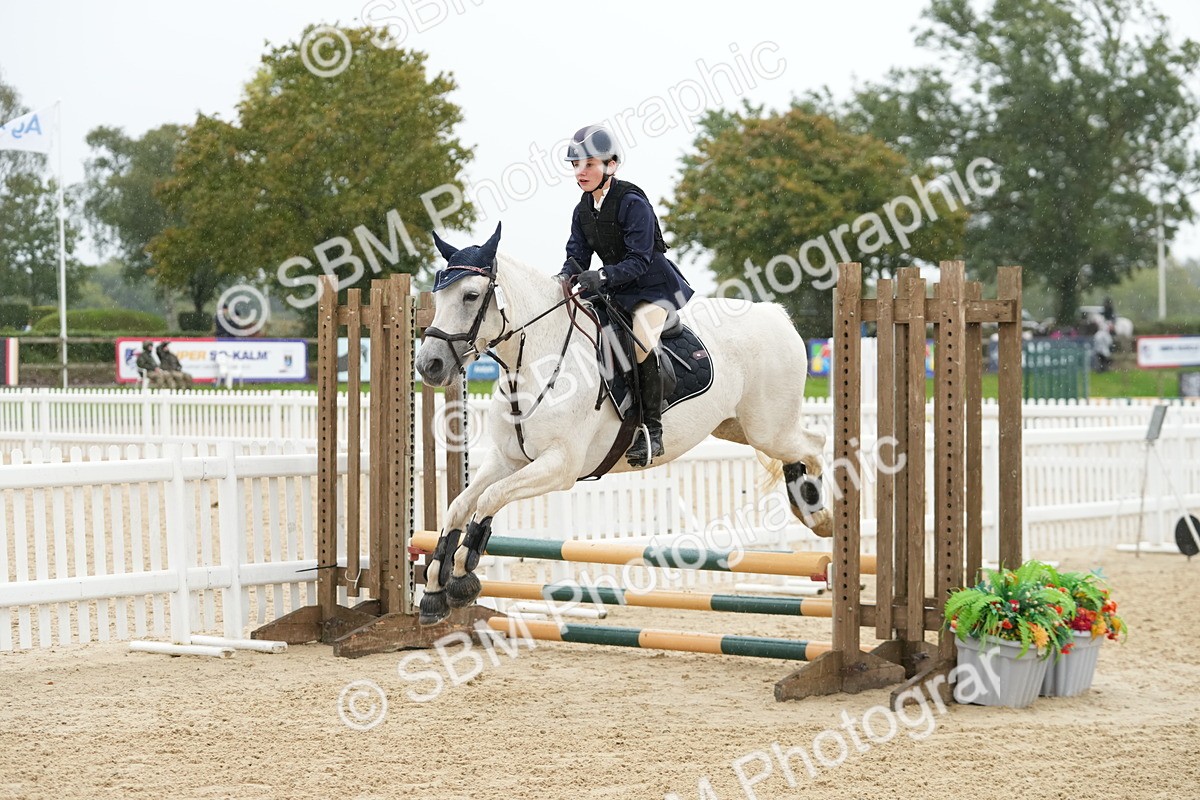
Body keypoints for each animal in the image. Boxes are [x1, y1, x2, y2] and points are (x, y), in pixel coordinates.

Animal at [415, 224, 831, 626]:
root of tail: (776, 315)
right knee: (799, 448)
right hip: (736, 427)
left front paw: (462, 577)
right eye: (439, 296)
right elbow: (459, 505)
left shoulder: (560, 466)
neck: (532, 362)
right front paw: (435, 588)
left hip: (768, 427)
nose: (428, 365)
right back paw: (807, 507)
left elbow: (489, 498)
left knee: (815, 442)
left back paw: (818, 512)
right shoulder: (508, 459)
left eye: (470, 296)